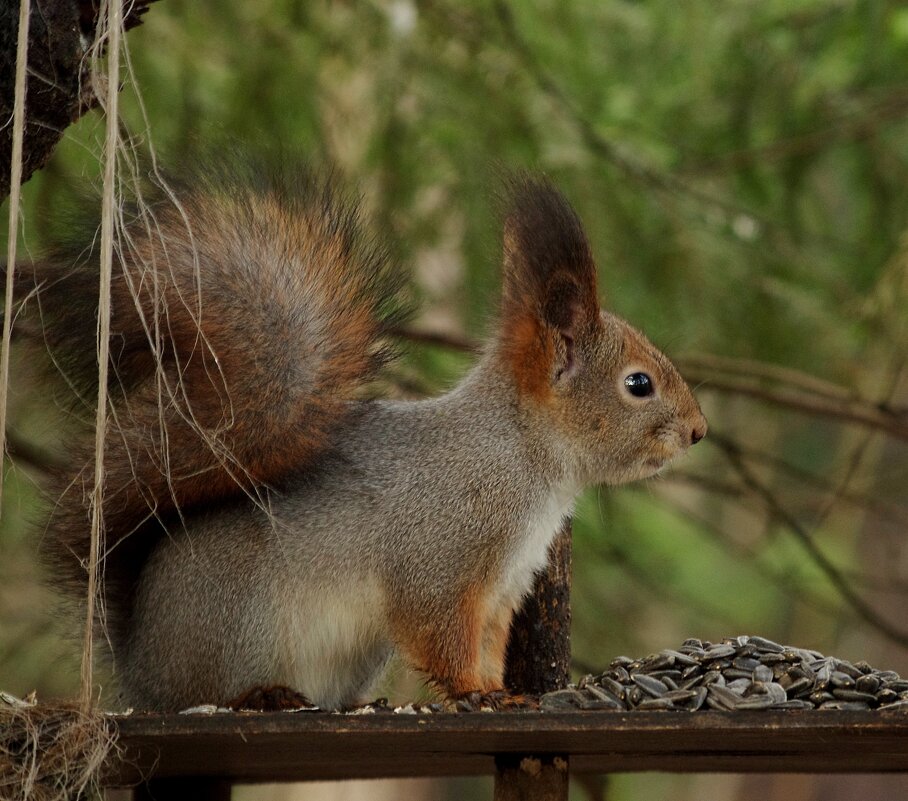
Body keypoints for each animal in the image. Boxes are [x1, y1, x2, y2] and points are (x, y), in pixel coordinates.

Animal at [17, 159, 704, 708]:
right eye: (638, 384)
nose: (698, 431)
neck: (521, 454)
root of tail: (138, 666)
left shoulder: (500, 592)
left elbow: (484, 644)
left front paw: (499, 689)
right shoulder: (440, 560)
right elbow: (442, 636)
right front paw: (479, 694)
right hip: (240, 627)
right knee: (202, 695)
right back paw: (258, 696)